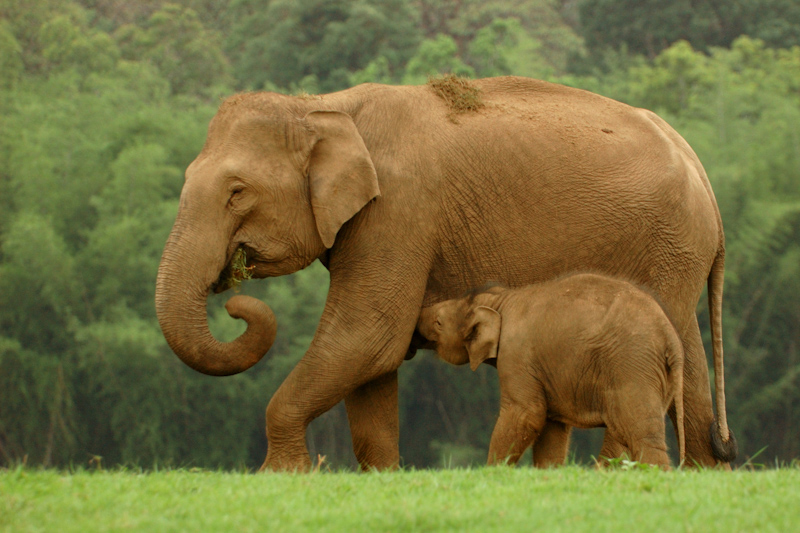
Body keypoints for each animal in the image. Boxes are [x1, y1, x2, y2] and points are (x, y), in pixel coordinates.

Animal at [418, 274, 688, 466]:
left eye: (438, 322)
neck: (500, 299)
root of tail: (670, 337)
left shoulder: (516, 355)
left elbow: (527, 414)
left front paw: (493, 473)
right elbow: (551, 429)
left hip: (631, 365)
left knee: (640, 434)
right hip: (656, 376)